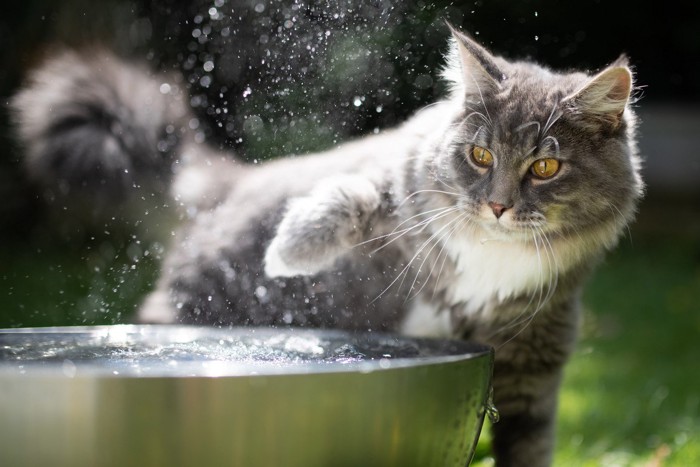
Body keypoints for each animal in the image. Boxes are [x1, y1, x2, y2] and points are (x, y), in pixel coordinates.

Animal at [12, 26, 644, 467]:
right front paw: (289, 250)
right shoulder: (396, 178)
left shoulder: (532, 365)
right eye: (480, 156)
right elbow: (354, 195)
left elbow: (527, 448)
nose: (497, 205)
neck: (491, 255)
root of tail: (227, 185)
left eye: (544, 167)